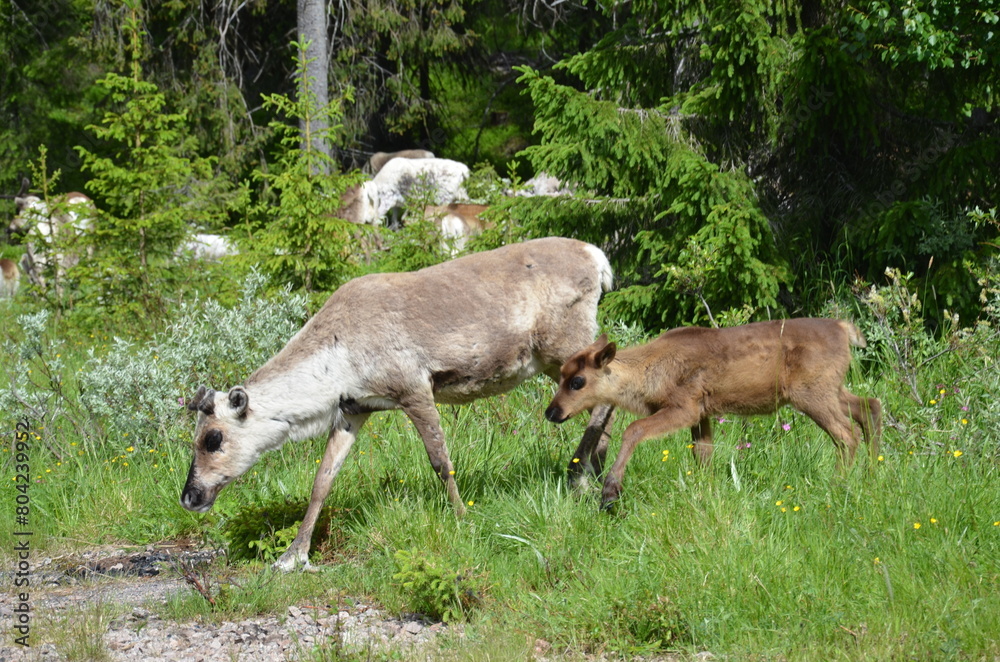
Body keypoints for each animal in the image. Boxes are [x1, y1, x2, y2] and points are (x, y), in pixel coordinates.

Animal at [180, 237, 616, 571]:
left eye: (213, 438)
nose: (189, 497)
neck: (336, 363)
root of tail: (598, 258)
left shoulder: (413, 388)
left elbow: (440, 461)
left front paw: (463, 519)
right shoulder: (354, 409)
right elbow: (322, 481)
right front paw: (293, 556)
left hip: (564, 344)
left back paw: (579, 476)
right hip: (552, 359)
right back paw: (595, 472)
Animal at [545, 318, 882, 509]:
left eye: (577, 381)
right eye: (561, 374)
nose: (551, 412)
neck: (650, 373)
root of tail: (845, 329)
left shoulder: (685, 406)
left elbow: (635, 429)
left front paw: (610, 491)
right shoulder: (702, 414)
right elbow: (703, 454)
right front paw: (704, 493)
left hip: (812, 393)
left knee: (846, 434)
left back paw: (839, 484)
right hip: (831, 389)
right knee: (869, 406)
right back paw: (872, 471)